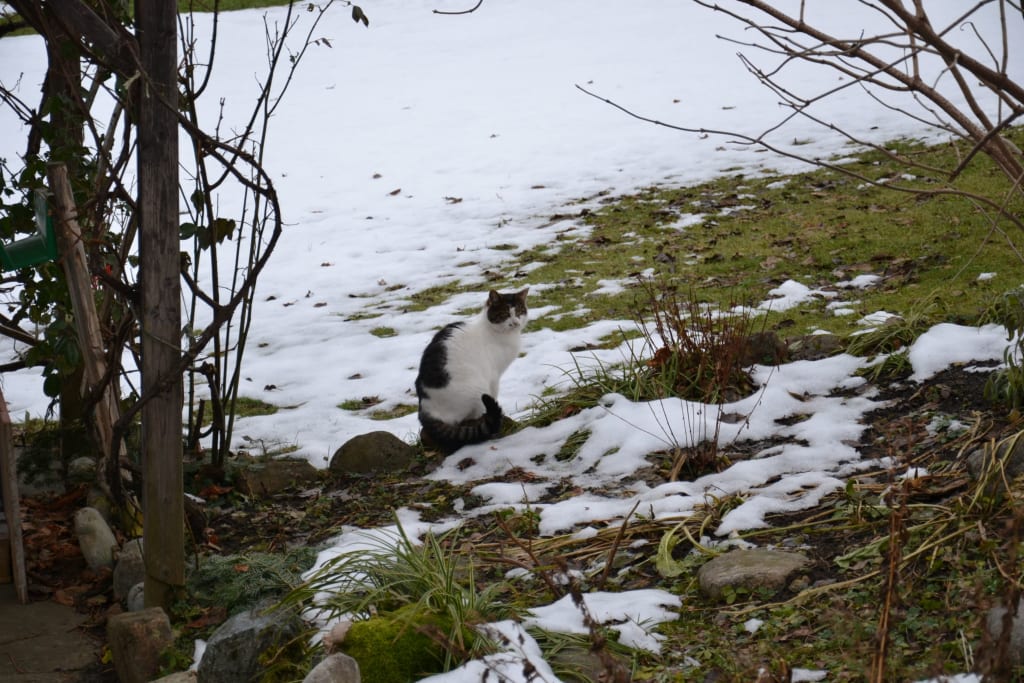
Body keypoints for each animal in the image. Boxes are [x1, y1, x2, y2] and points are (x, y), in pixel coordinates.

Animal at [415, 288, 529, 452]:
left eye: (519, 311)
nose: (515, 323)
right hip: (476, 389)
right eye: (505, 313)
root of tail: (426, 408)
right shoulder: (494, 376)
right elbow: (494, 393)